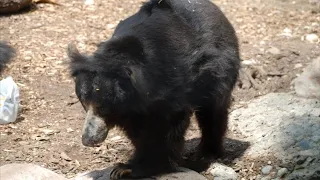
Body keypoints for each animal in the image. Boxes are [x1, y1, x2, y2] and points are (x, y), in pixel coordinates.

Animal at [67, 0, 240, 179]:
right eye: (84, 103)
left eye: (102, 107)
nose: (88, 140)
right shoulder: (132, 109)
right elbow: (138, 130)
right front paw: (126, 166)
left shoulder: (172, 86)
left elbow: (166, 126)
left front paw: (135, 167)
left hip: (219, 71)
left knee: (213, 112)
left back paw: (206, 153)